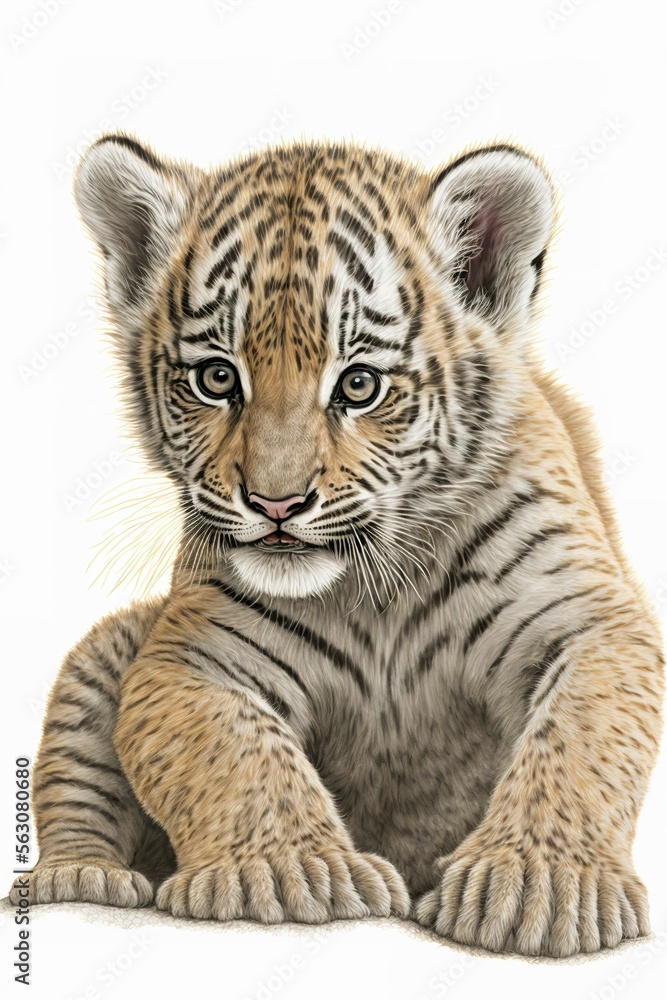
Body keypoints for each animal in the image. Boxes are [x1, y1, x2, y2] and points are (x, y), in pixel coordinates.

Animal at [9, 133, 663, 959]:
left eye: (357, 385)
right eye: (216, 377)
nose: (275, 503)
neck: (378, 587)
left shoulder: (588, 623)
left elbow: (577, 739)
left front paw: (539, 886)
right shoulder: (188, 659)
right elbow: (239, 754)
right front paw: (292, 871)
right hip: (105, 652)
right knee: (72, 783)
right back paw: (83, 877)